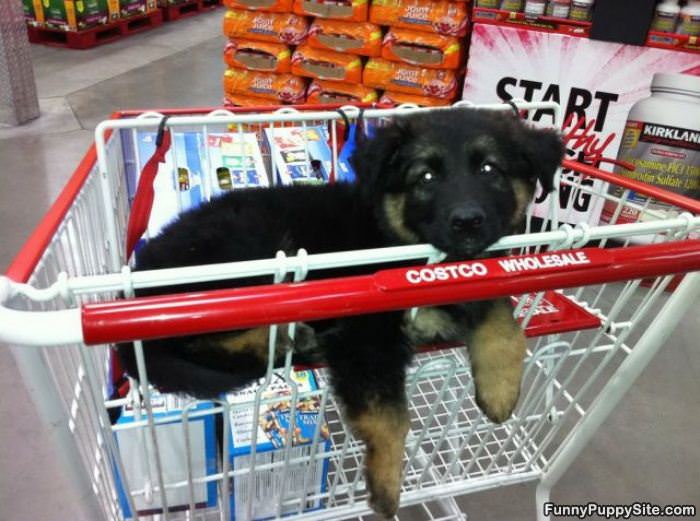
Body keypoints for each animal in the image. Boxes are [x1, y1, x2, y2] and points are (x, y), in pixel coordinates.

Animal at [116, 108, 564, 516]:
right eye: (425, 177)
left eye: (490, 169)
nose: (467, 221)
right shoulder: (364, 339)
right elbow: (390, 418)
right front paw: (386, 483)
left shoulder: (482, 279)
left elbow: (504, 321)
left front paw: (501, 389)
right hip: (246, 249)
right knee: (192, 332)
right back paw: (285, 336)